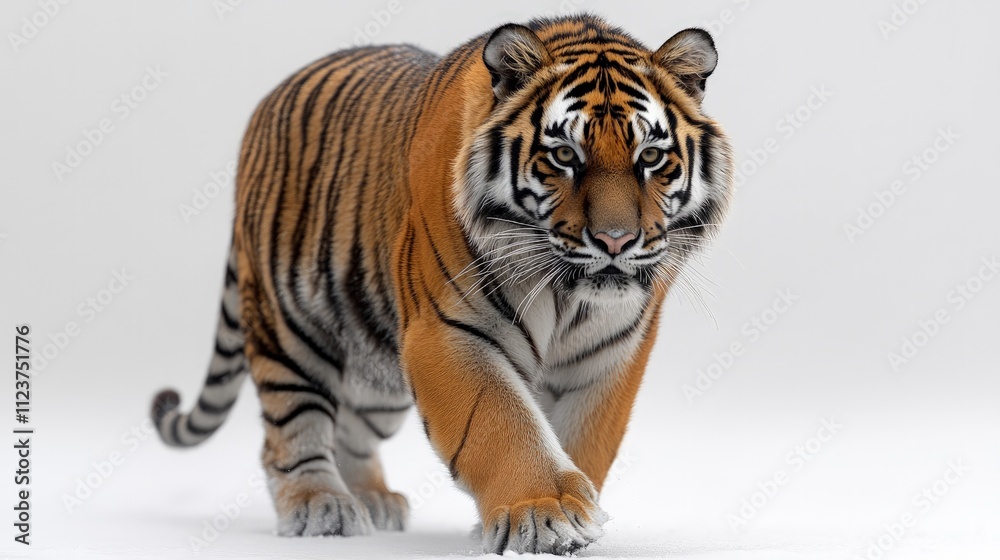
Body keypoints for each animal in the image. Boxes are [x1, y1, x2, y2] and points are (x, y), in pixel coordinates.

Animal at [151, 14, 733, 554]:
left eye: (650, 157)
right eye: (565, 156)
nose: (616, 241)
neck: (570, 300)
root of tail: (268, 100)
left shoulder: (611, 352)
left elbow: (584, 439)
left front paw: (564, 514)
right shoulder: (448, 331)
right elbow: (501, 424)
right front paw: (546, 511)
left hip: (378, 367)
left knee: (354, 425)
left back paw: (372, 498)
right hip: (287, 324)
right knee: (290, 425)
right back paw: (321, 505)